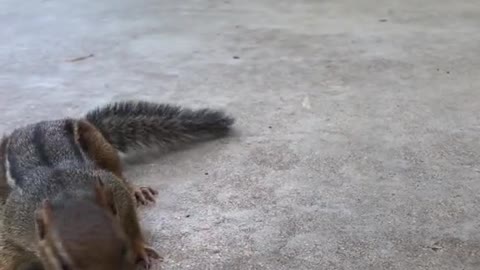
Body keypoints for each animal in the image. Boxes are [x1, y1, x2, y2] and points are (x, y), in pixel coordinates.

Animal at [0, 100, 234, 268]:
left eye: (124, 248)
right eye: (63, 263)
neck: (64, 191)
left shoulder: (113, 188)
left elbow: (129, 216)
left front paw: (140, 248)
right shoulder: (14, 223)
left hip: (99, 145)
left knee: (118, 171)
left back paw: (137, 190)